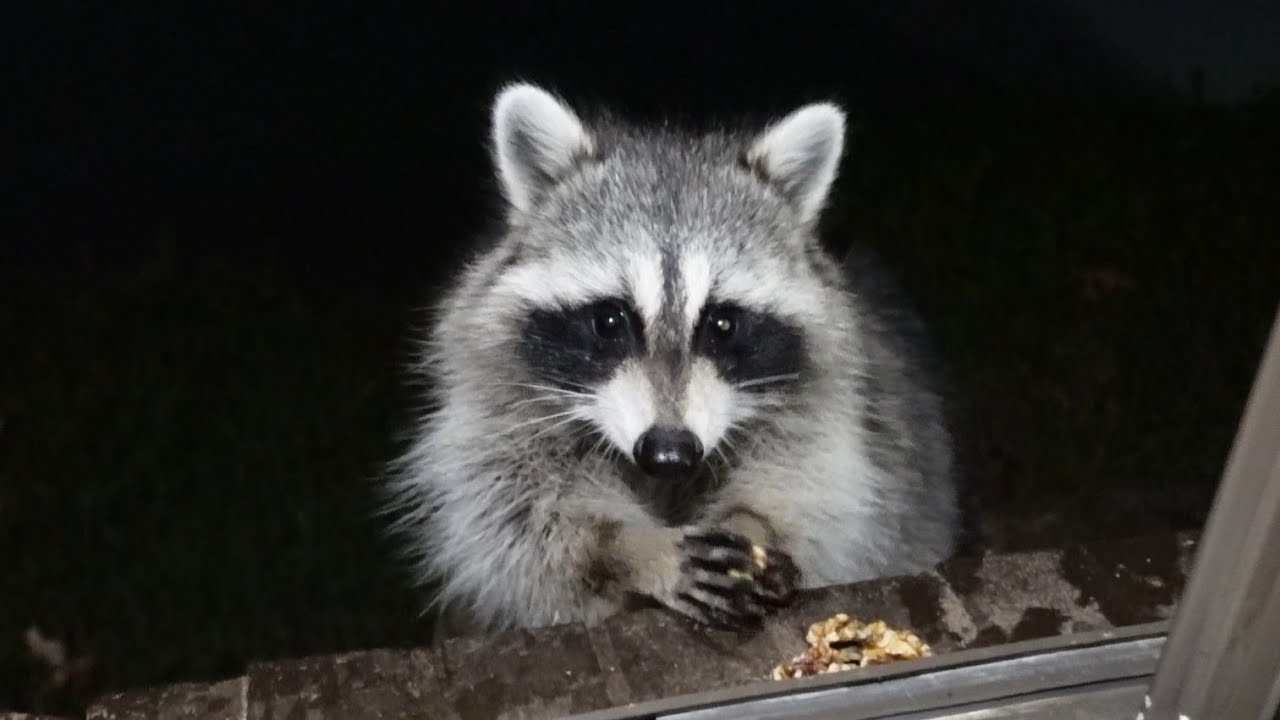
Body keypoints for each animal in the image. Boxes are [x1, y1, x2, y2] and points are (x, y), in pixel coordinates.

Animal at [384, 82, 960, 638]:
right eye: (609, 321)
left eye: (722, 324)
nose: (668, 452)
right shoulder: (498, 394)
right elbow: (516, 513)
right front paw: (631, 549)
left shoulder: (827, 395)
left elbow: (813, 482)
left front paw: (752, 523)